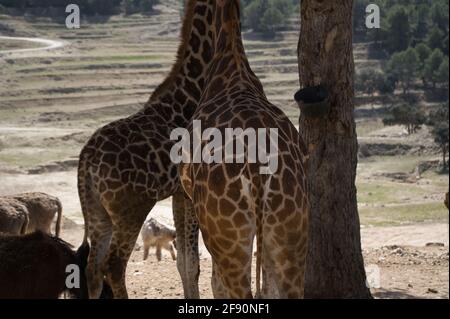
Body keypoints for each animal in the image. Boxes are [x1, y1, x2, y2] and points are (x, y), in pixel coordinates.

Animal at [78, 0, 216, 300]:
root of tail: (86, 163)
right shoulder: (191, 191)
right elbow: (193, 261)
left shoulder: (179, 193)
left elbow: (185, 261)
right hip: (130, 210)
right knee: (114, 266)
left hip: (97, 211)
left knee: (92, 268)